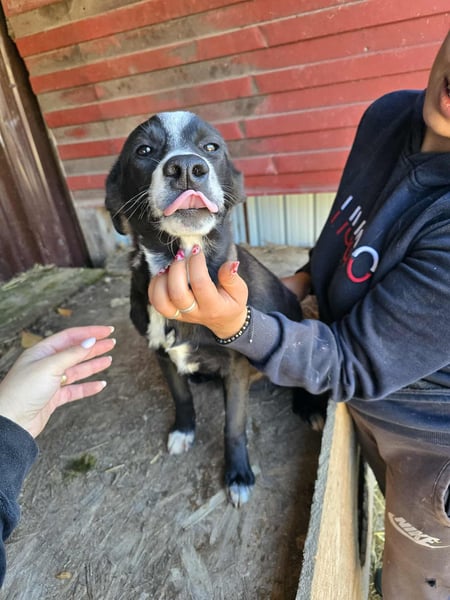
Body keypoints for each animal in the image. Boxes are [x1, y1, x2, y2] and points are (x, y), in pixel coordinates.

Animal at [105, 111, 325, 507]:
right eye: (143, 150)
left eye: (211, 147)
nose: (186, 168)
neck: (181, 265)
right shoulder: (160, 352)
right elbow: (181, 397)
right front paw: (183, 430)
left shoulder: (236, 369)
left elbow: (233, 426)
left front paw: (237, 475)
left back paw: (308, 406)